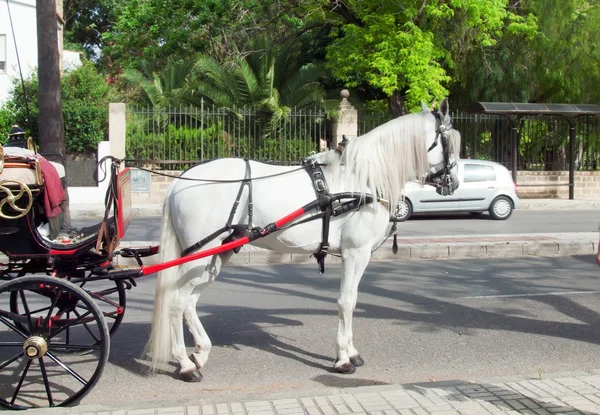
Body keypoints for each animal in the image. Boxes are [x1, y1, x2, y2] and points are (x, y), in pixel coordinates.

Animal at [144, 98, 460, 384]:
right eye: (450, 141)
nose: (454, 183)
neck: (363, 179)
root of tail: (180, 180)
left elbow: (352, 300)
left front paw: (351, 352)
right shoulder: (356, 253)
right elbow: (347, 301)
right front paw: (343, 359)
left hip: (215, 256)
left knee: (189, 302)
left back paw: (200, 351)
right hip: (200, 255)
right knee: (176, 302)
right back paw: (186, 365)